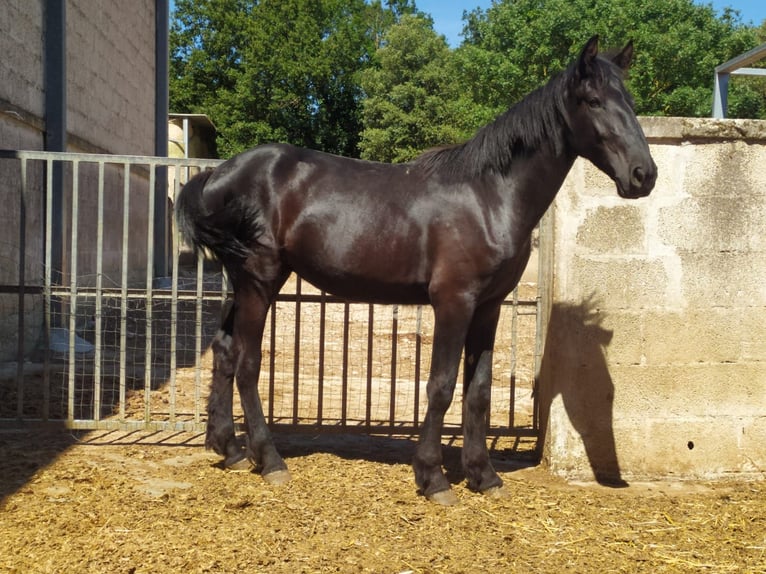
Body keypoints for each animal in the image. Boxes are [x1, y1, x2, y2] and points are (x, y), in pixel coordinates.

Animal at [175, 36, 656, 505]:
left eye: (630, 100)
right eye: (593, 100)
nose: (644, 175)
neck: (489, 196)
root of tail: (217, 175)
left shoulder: (488, 308)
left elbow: (479, 390)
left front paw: (483, 476)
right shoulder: (453, 302)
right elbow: (441, 385)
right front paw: (434, 478)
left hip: (239, 283)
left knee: (223, 351)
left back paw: (230, 449)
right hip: (260, 281)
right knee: (247, 363)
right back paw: (270, 460)